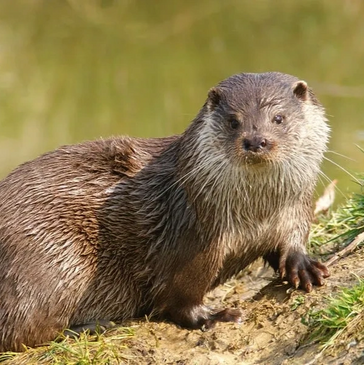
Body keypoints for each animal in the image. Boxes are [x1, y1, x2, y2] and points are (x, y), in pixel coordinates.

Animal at [0, 72, 330, 350]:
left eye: (279, 118)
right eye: (234, 121)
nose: (255, 140)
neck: (256, 216)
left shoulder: (294, 208)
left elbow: (291, 239)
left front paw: (304, 265)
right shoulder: (191, 237)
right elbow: (179, 296)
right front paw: (213, 316)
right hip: (55, 258)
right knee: (22, 331)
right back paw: (94, 326)